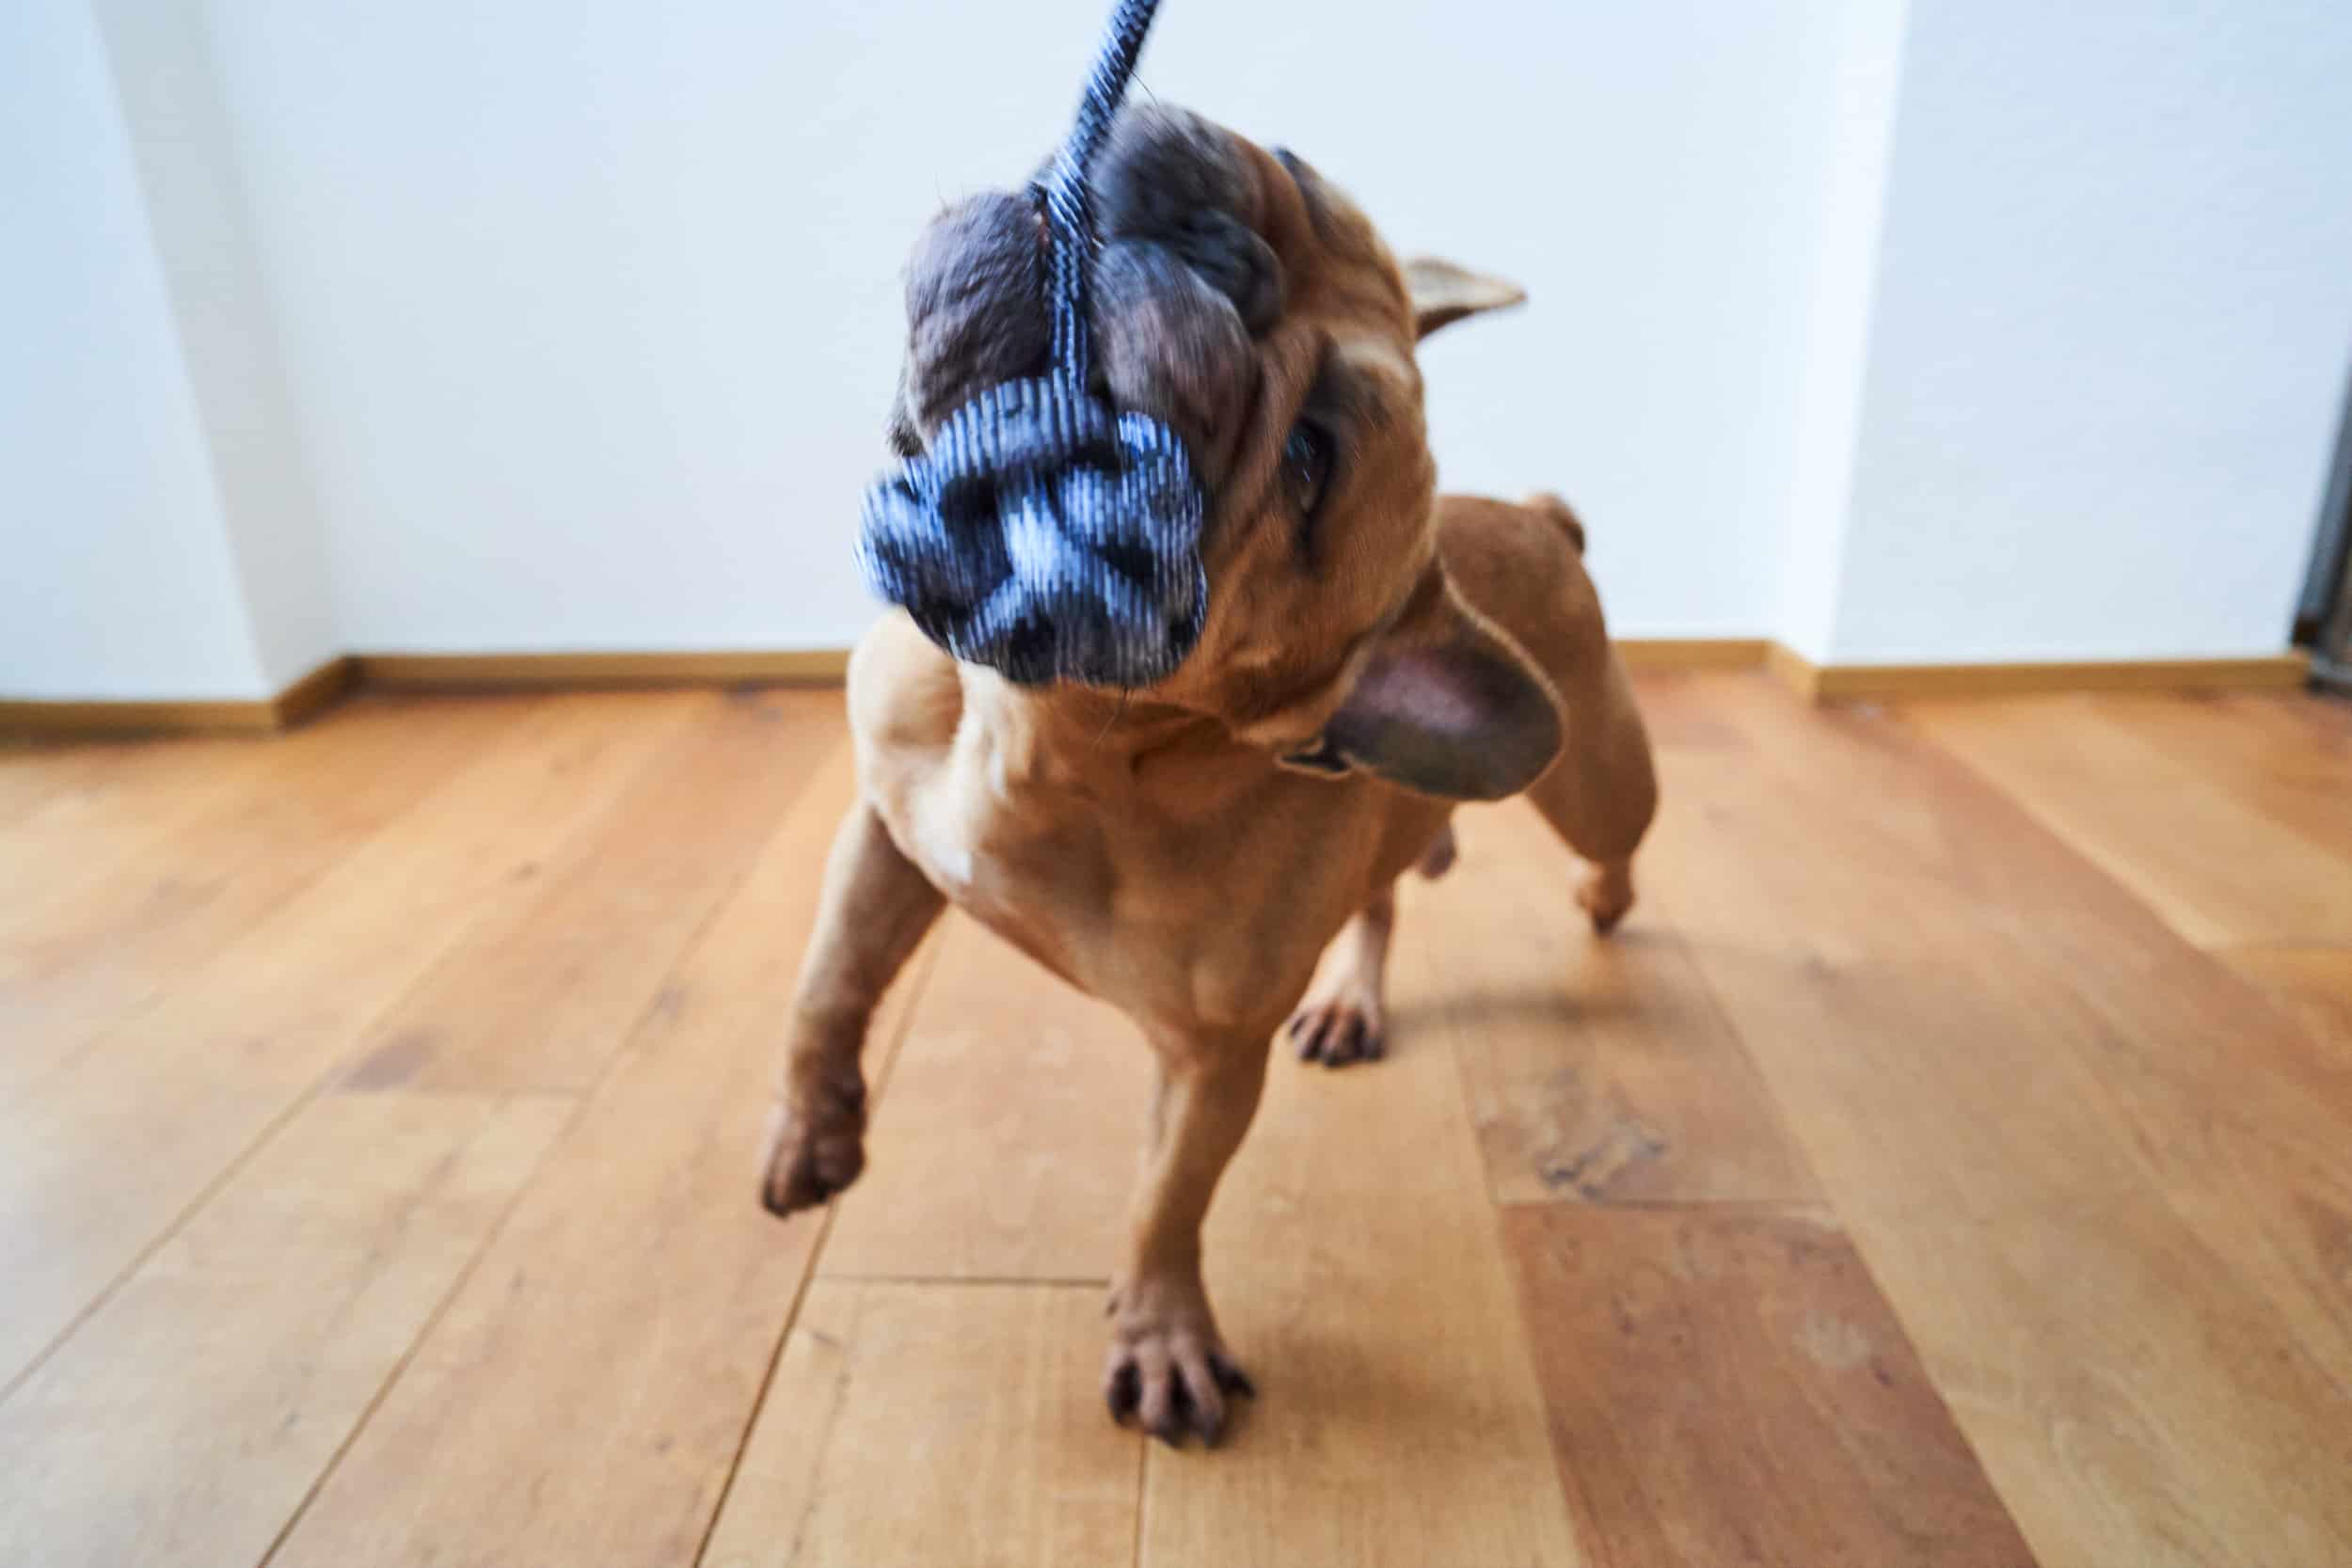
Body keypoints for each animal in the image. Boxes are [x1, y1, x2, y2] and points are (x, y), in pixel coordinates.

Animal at [753, 107, 1656, 1448]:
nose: (1223, 246)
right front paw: (810, 1133)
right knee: (1378, 888)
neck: (1044, 736)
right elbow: (827, 983)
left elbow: (1166, 1196)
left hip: (1596, 770)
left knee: (1613, 836)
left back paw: (1601, 899)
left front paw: (1162, 1331)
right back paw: (1350, 995)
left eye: (1311, 462)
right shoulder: (884, 826)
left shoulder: (1210, 1061)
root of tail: (1539, 515)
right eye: (1296, 168)